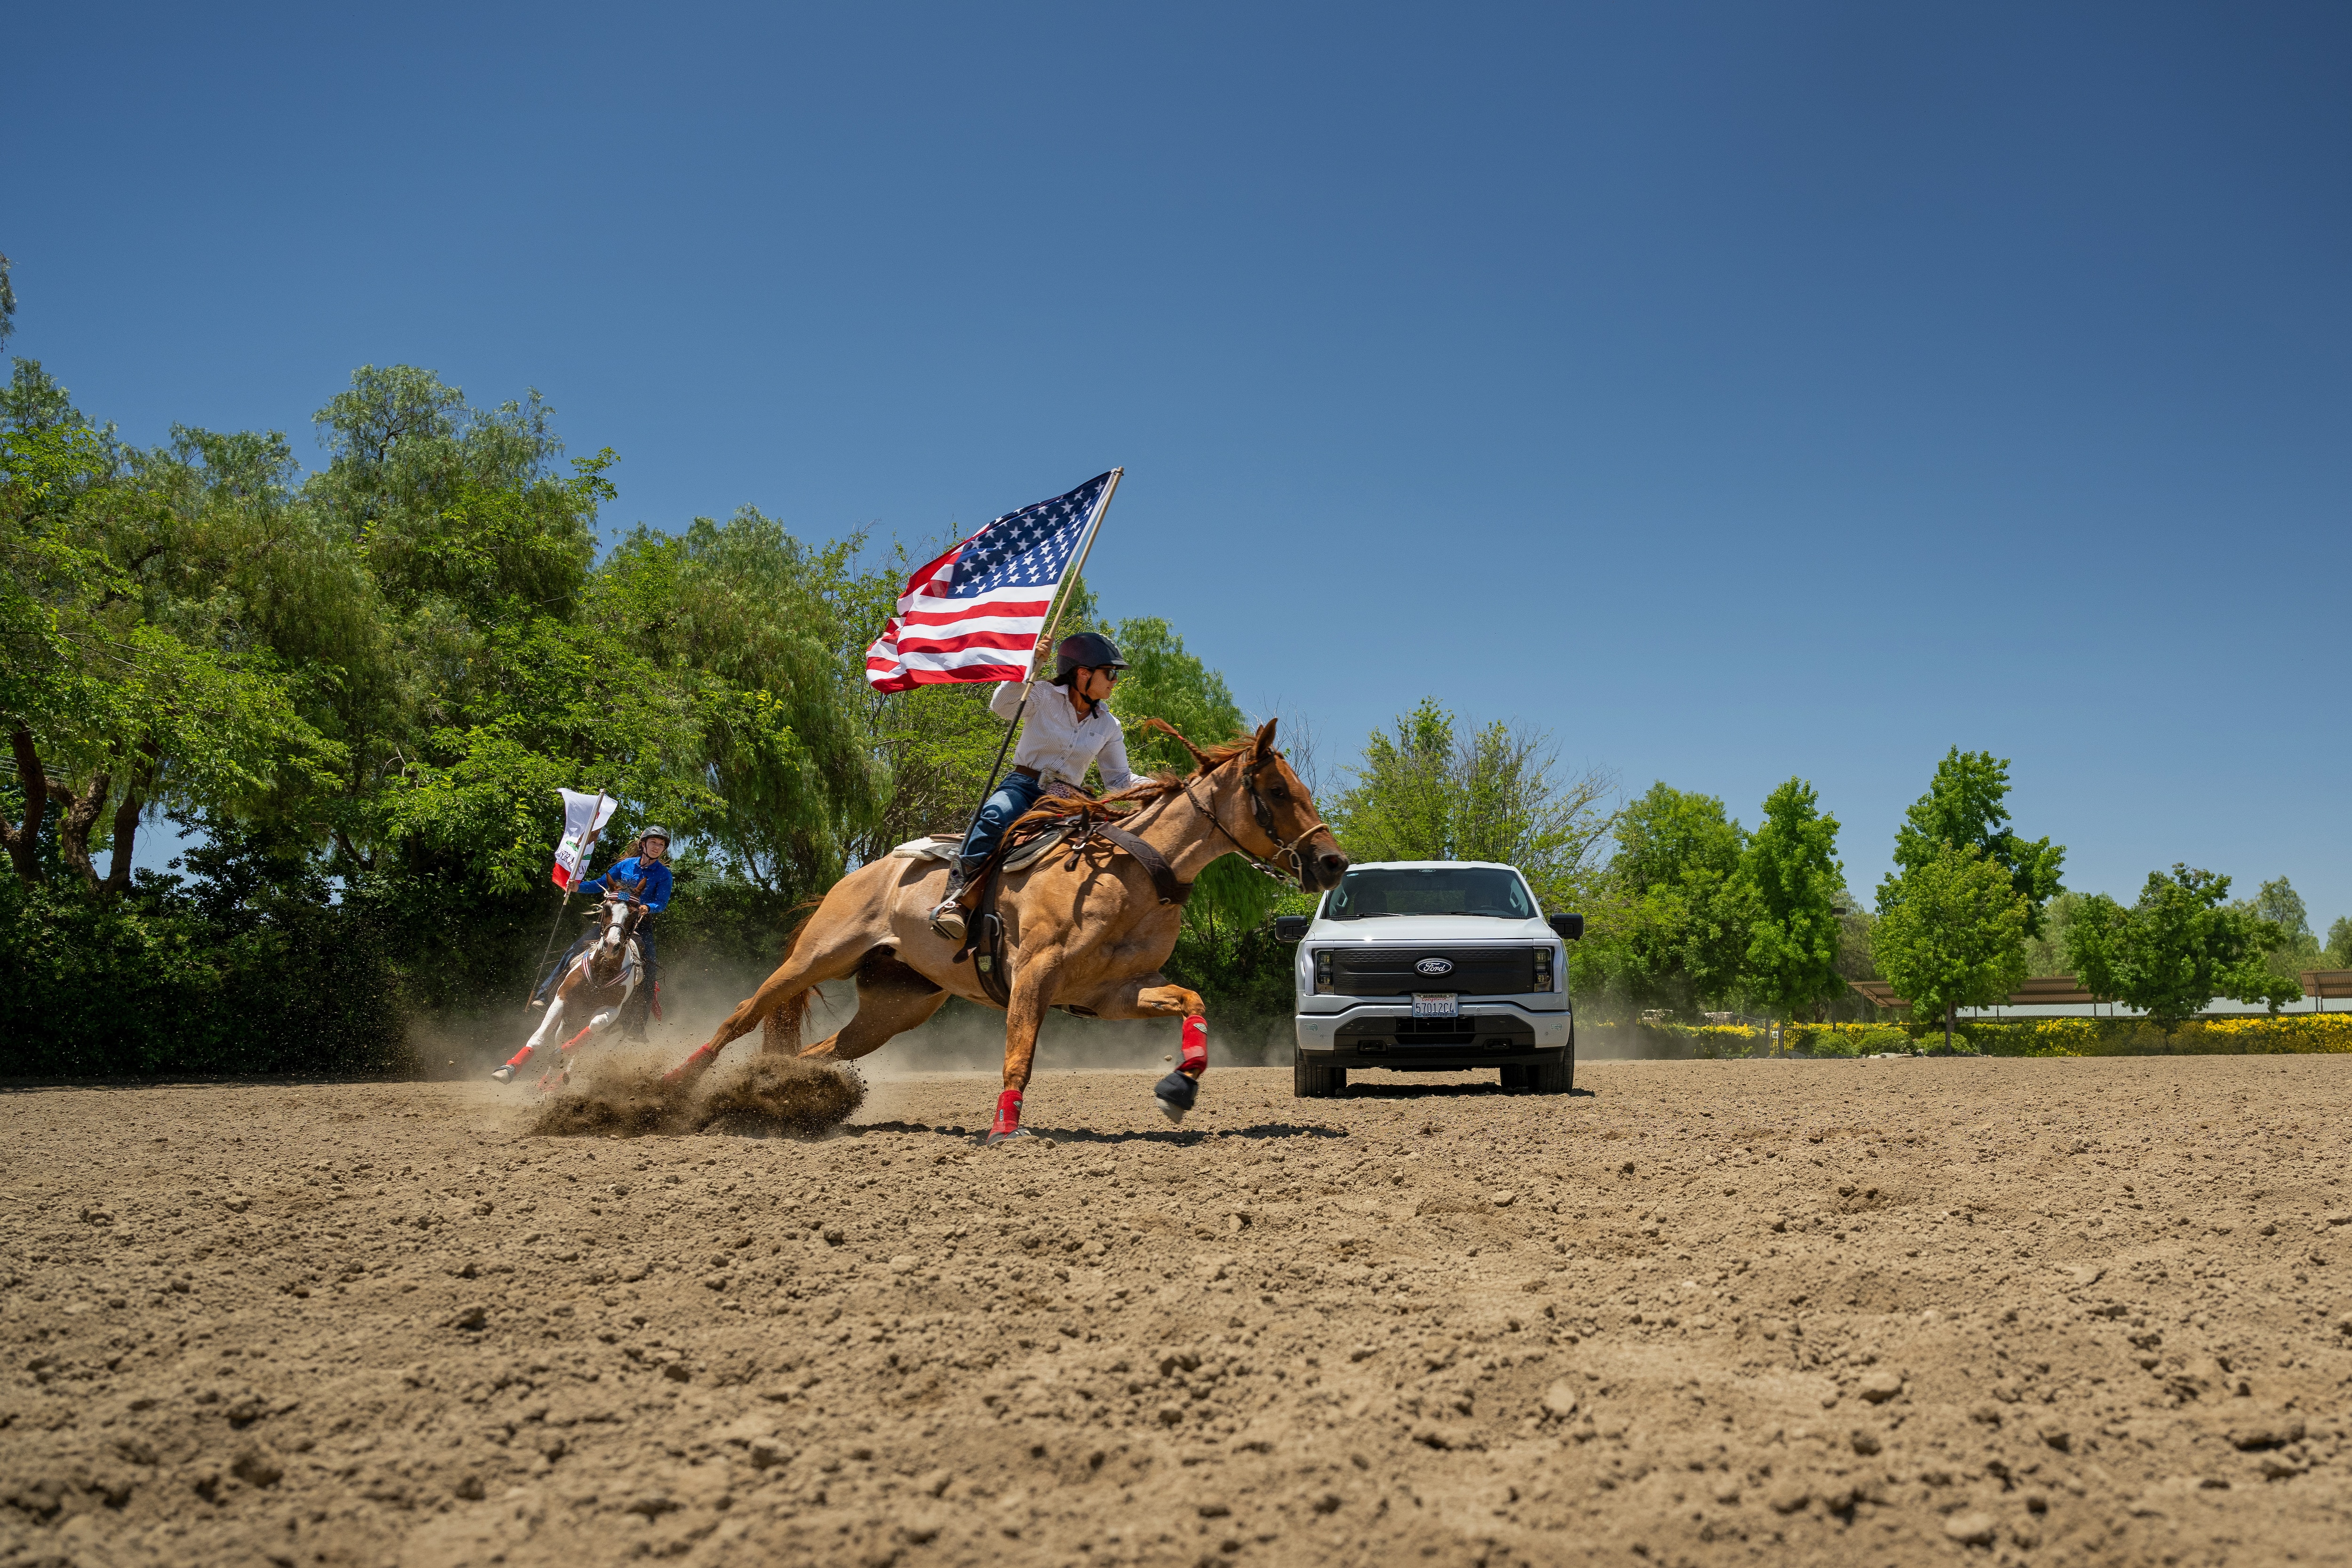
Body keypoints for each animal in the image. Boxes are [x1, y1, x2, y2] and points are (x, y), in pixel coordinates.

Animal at [493, 876, 651, 1086]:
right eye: (608, 908)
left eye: (634, 913)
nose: (611, 946)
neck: (601, 975)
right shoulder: (562, 1000)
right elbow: (539, 1038)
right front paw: (508, 1069)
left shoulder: (612, 1010)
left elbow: (594, 1026)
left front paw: (561, 1055)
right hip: (569, 1021)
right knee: (559, 1041)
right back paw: (546, 1084)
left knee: (578, 1049)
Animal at [663, 717, 1346, 1141]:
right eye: (1277, 790)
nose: (1332, 862)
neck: (1132, 875)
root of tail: (864, 872)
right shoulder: (1035, 974)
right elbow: (1019, 1054)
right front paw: (1003, 1130)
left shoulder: (1114, 992)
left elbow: (1192, 1002)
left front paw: (1177, 1088)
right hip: (817, 956)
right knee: (741, 1016)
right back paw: (669, 1088)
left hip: (894, 1009)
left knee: (817, 1051)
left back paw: (790, 1096)